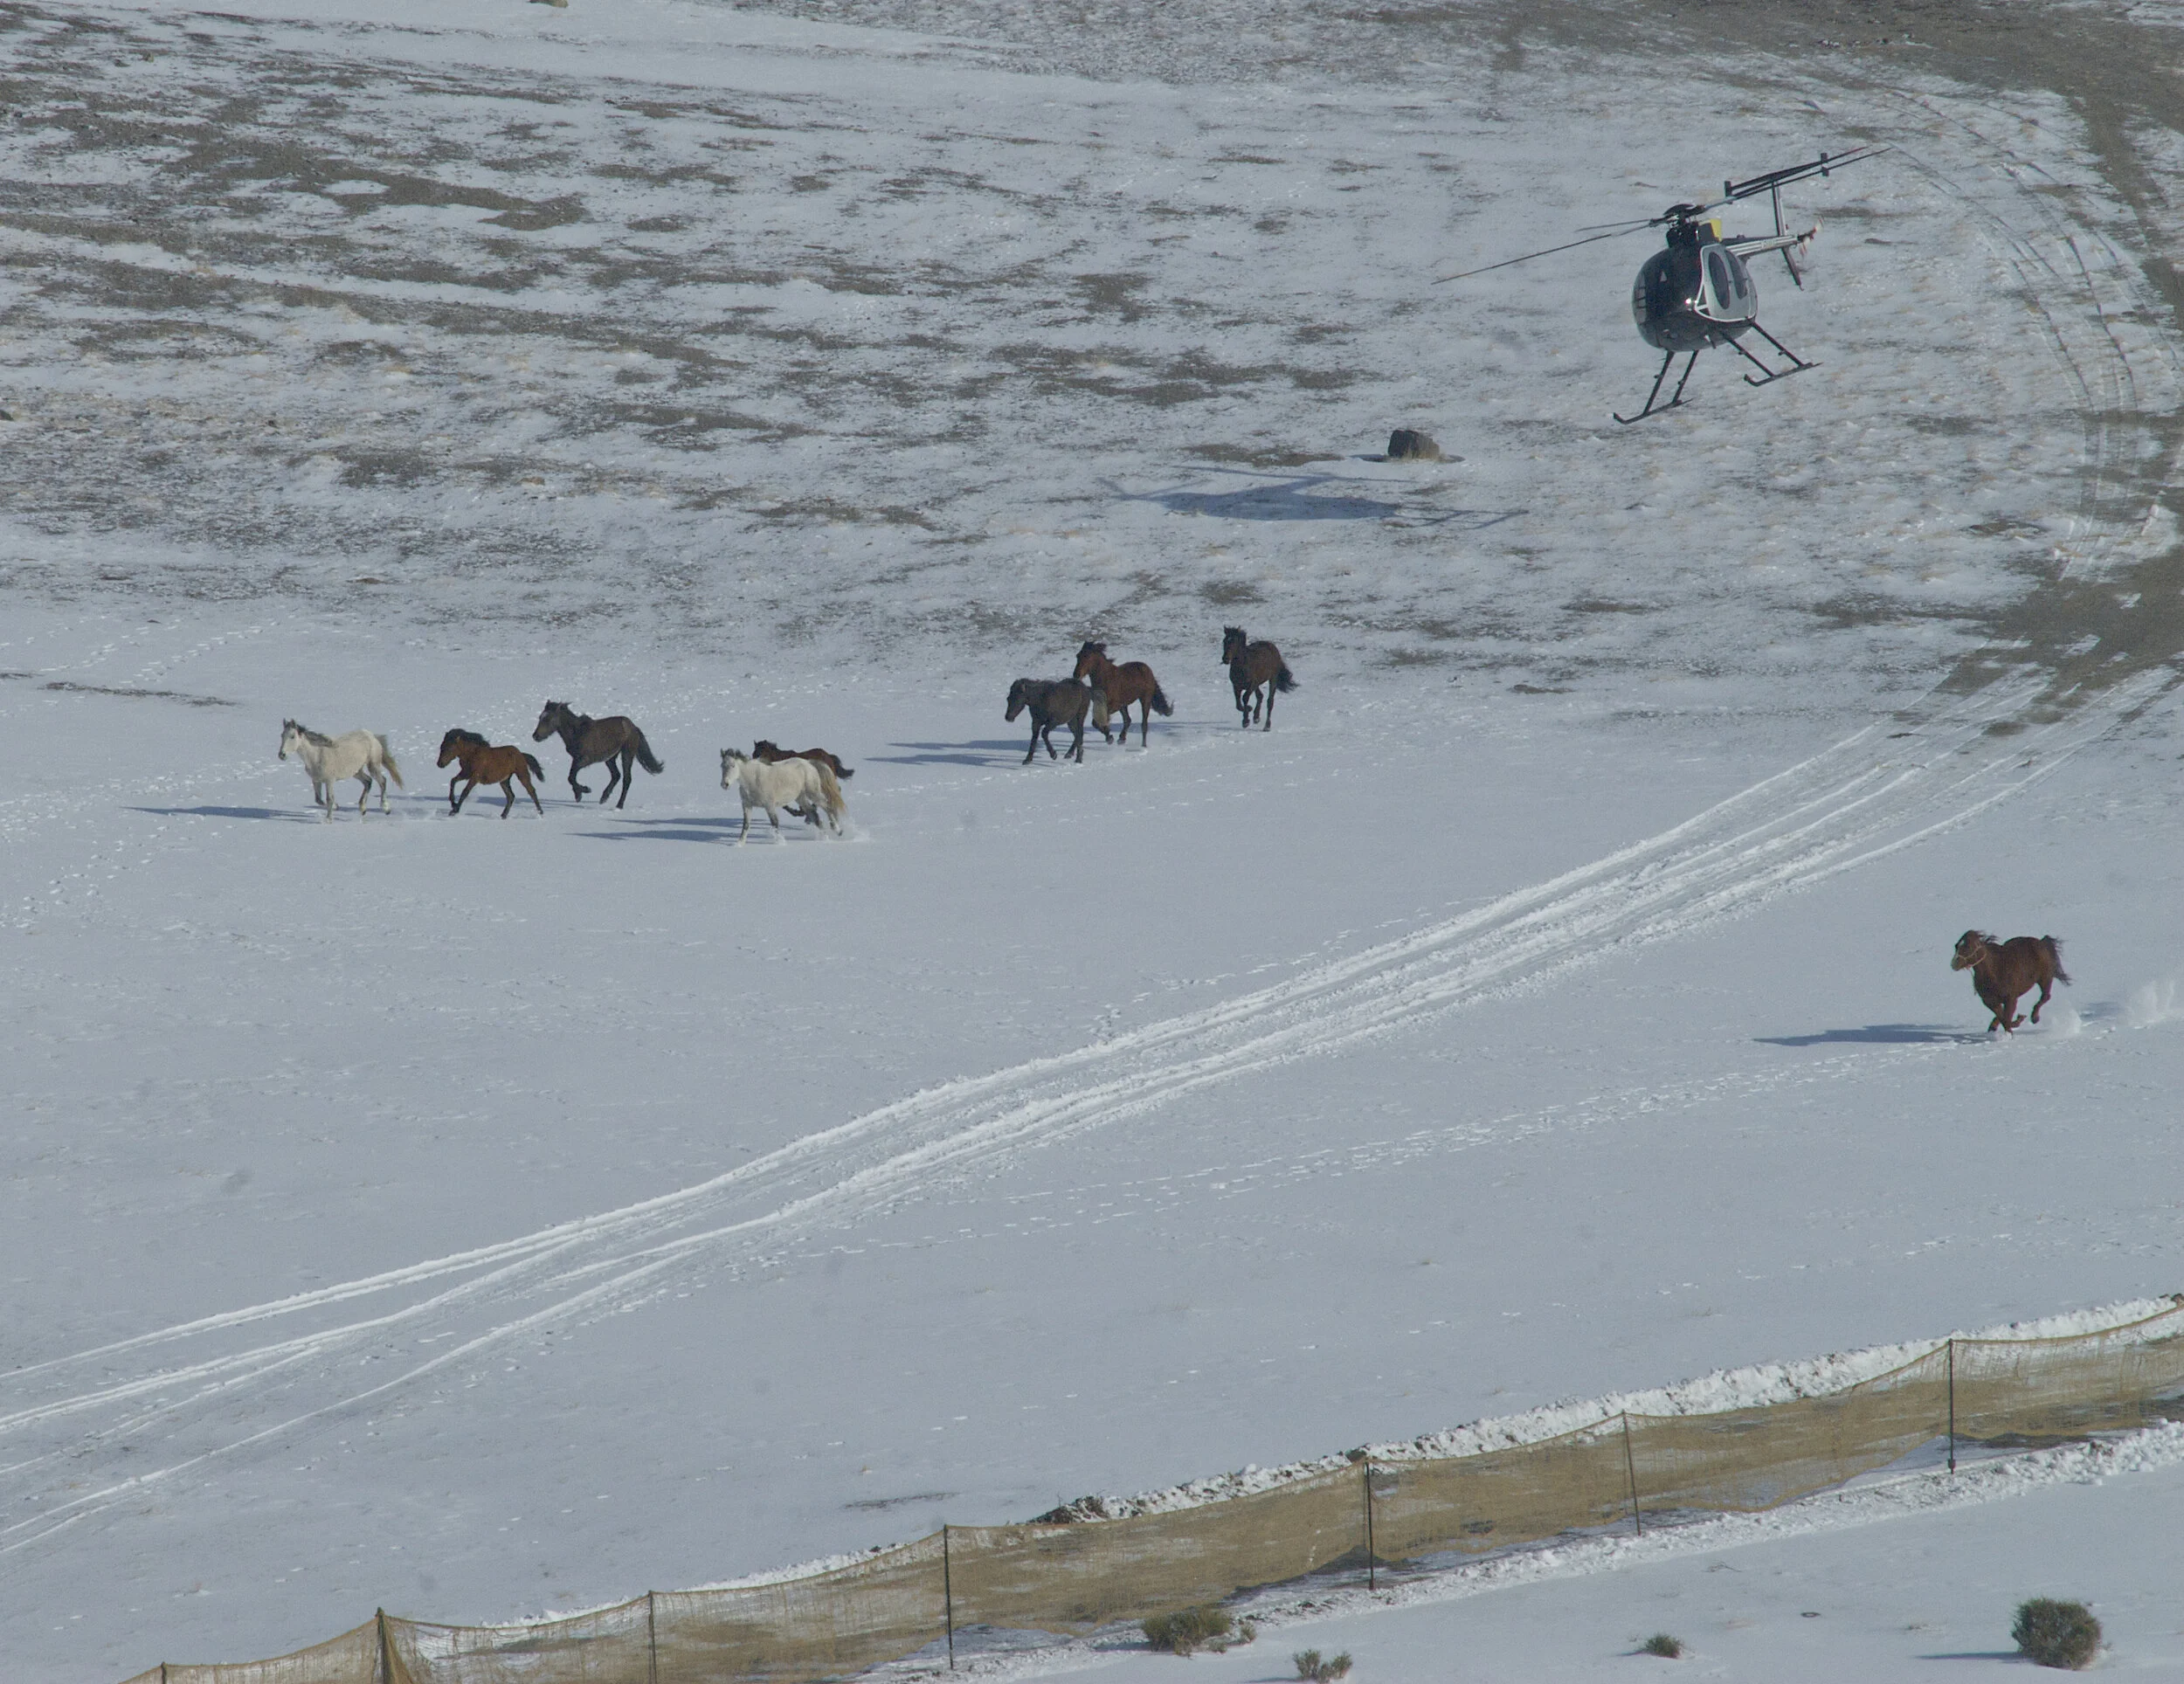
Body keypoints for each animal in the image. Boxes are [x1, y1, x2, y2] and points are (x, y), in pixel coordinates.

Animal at [278, 720, 402, 820]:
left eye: (292, 736)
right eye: (282, 735)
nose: (282, 755)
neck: (316, 756)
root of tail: (371, 735)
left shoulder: (329, 781)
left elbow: (329, 799)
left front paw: (328, 819)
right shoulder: (316, 780)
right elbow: (318, 800)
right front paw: (336, 807)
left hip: (373, 765)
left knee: (382, 781)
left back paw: (386, 808)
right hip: (356, 771)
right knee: (368, 781)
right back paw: (363, 809)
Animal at [532, 700, 664, 808]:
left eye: (548, 719)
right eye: (540, 717)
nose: (535, 736)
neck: (577, 733)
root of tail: (634, 727)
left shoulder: (585, 759)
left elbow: (571, 776)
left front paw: (584, 791)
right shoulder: (576, 759)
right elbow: (571, 776)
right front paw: (579, 794)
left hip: (627, 754)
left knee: (626, 779)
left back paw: (619, 805)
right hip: (610, 758)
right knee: (616, 775)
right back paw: (604, 798)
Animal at [720, 749, 844, 840]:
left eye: (733, 765)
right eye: (722, 766)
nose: (724, 784)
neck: (753, 779)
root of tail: (809, 763)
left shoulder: (769, 805)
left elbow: (775, 824)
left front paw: (780, 842)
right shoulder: (747, 805)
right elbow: (745, 825)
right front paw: (739, 844)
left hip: (813, 793)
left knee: (827, 806)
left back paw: (838, 830)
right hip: (801, 797)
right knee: (814, 814)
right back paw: (825, 837)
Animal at [1952, 931, 2070, 1033]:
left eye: (1968, 947)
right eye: (1956, 946)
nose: (1954, 964)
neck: (1993, 971)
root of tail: (2041, 942)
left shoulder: (2010, 998)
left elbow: (2006, 1018)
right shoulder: (1989, 1001)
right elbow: (2003, 1017)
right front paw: (1999, 1026)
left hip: (2045, 978)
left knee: (2046, 996)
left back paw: (2034, 1017)